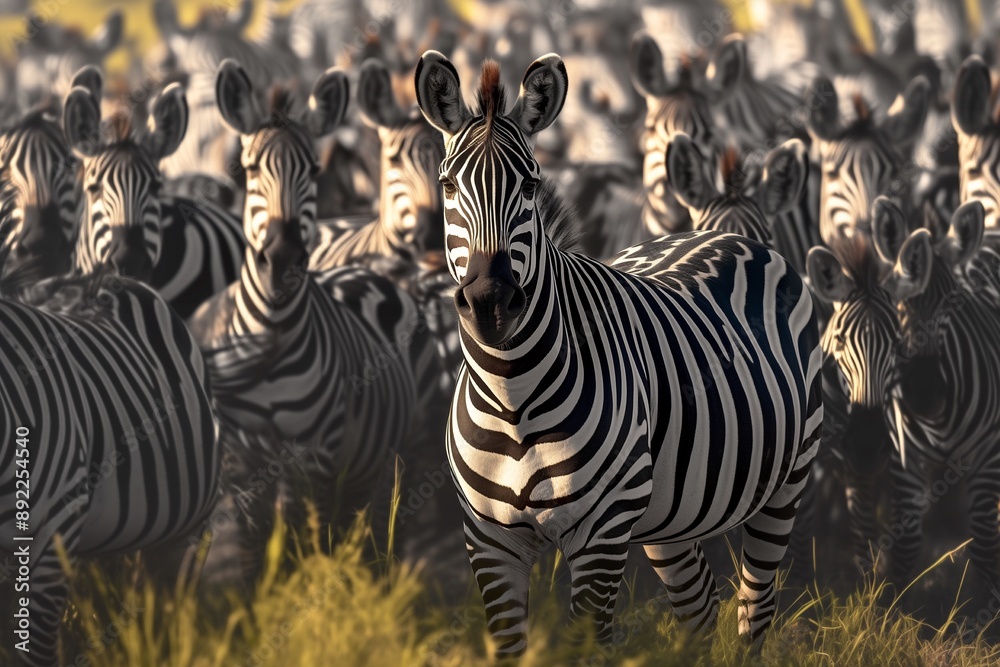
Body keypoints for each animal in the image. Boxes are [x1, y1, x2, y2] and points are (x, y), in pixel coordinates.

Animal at [414, 50, 824, 656]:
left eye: (531, 186)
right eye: (446, 184)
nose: (490, 301)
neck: (512, 394)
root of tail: (729, 235)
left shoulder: (601, 537)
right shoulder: (490, 541)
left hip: (786, 482)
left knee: (755, 609)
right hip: (669, 515)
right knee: (700, 605)